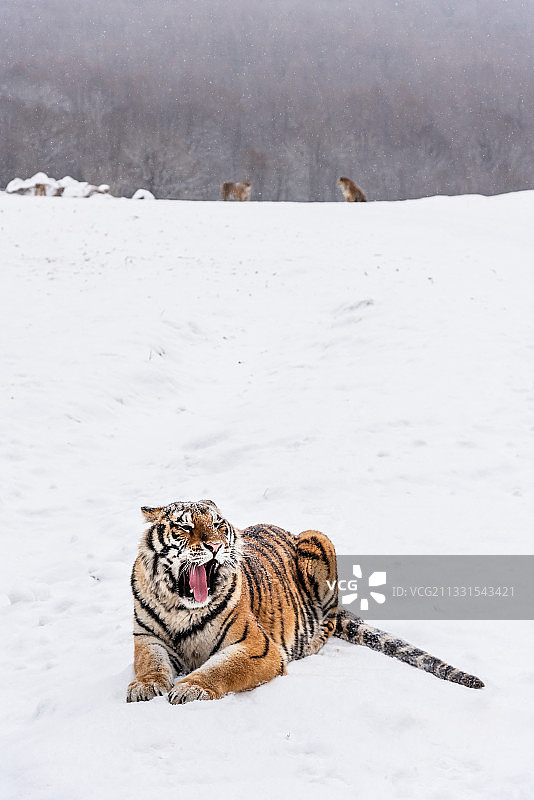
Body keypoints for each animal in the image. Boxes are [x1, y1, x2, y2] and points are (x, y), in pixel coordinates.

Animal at [127, 500, 484, 704]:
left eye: (217, 525)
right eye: (184, 527)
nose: (215, 546)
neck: (180, 607)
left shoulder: (257, 647)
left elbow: (220, 669)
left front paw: (189, 688)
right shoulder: (146, 637)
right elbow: (150, 664)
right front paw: (144, 686)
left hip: (317, 541)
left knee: (329, 619)